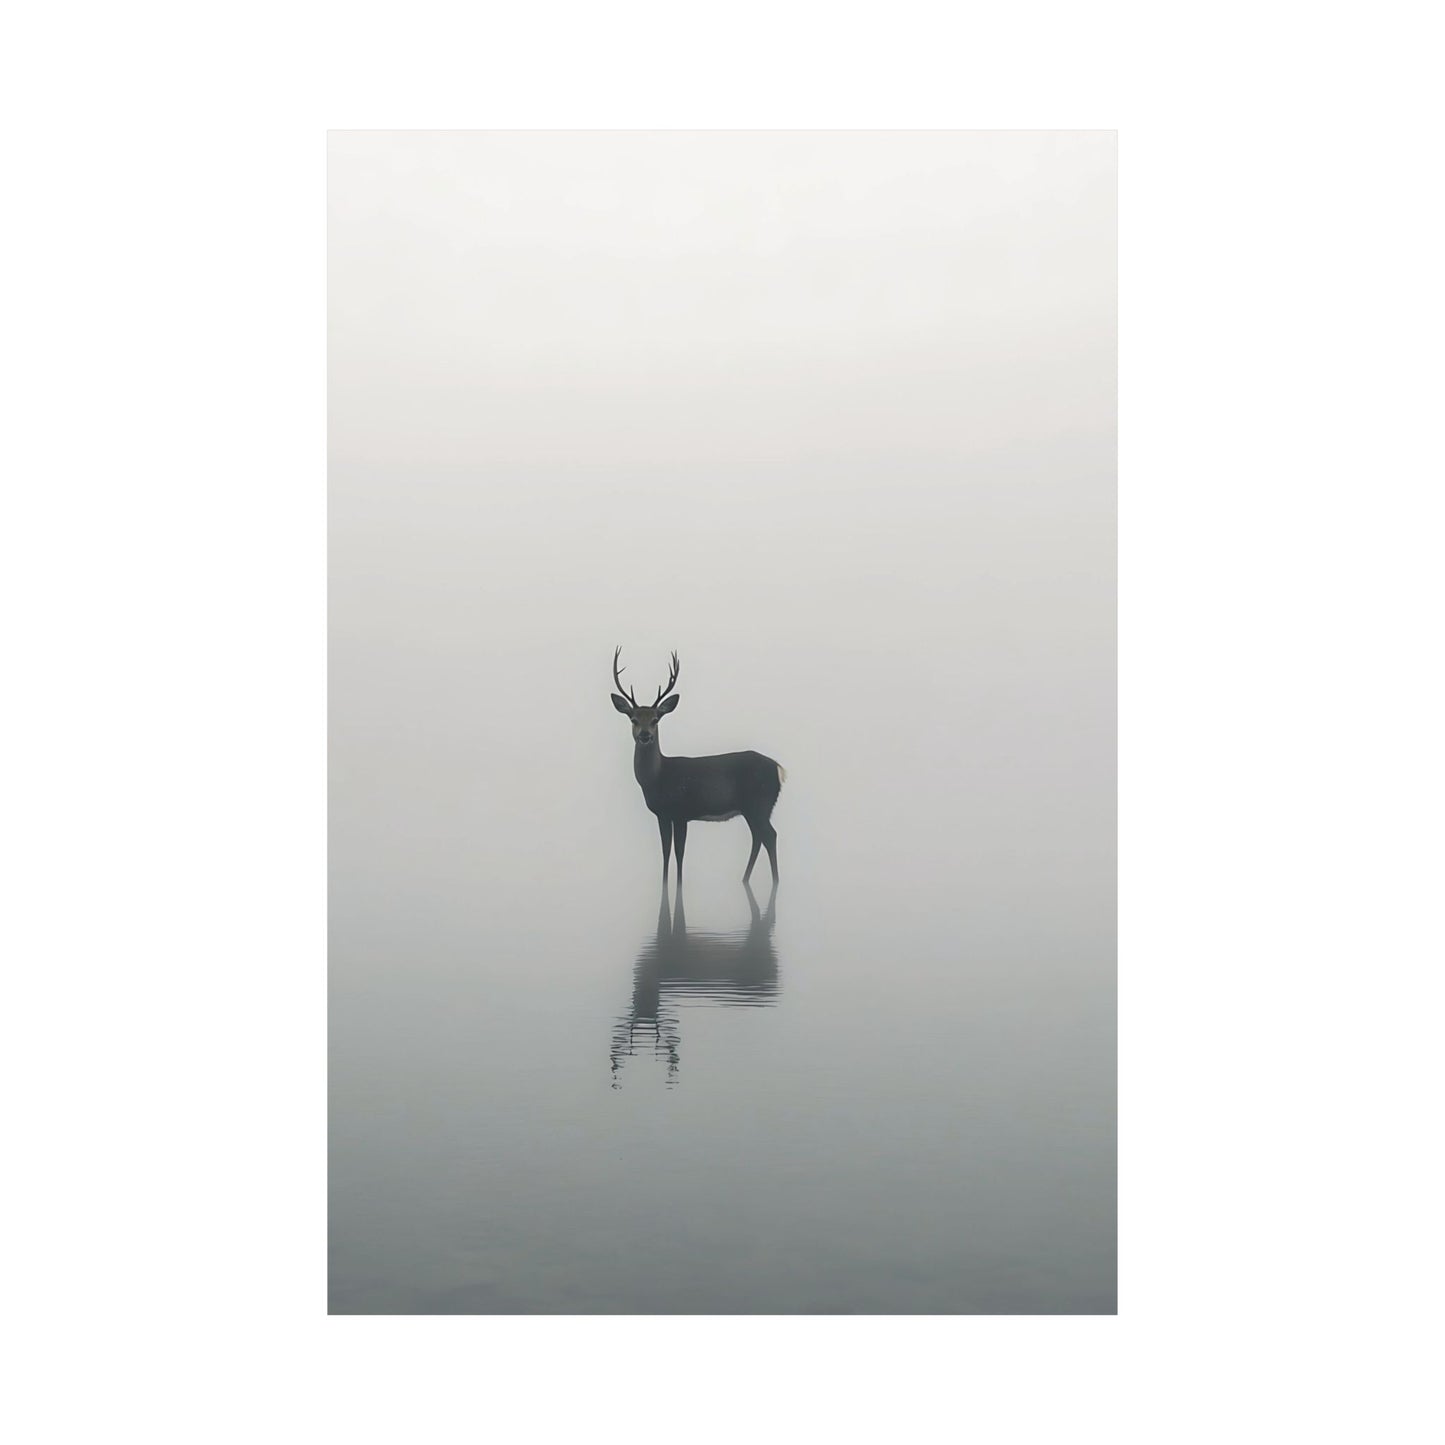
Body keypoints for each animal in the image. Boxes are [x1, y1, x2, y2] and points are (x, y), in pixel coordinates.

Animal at [610, 648, 785, 887]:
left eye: (656, 719)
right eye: (633, 719)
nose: (645, 735)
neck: (657, 779)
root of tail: (778, 768)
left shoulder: (681, 811)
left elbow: (679, 852)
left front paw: (679, 885)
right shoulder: (663, 814)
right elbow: (666, 851)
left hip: (759, 802)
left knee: (770, 836)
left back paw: (774, 880)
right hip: (754, 808)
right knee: (758, 836)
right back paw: (745, 877)